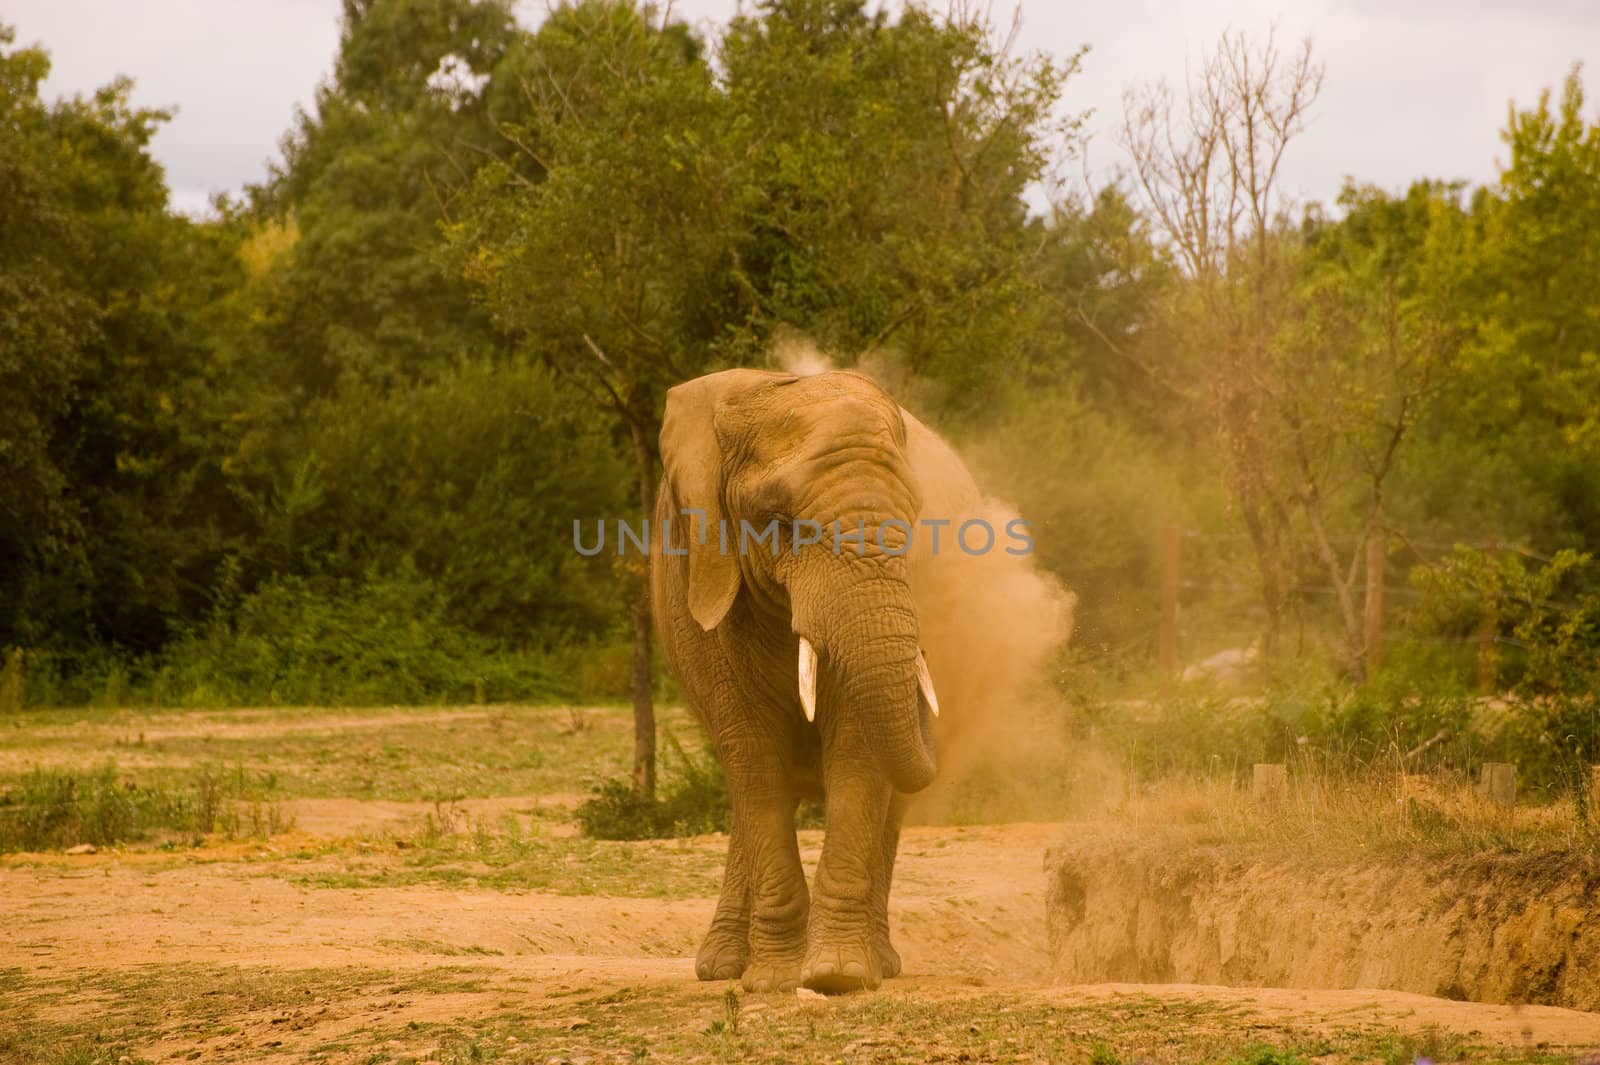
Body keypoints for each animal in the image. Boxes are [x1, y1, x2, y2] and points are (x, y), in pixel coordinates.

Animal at [643, 364, 1068, 985]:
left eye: (915, 523)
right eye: (778, 523)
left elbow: (856, 755)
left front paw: (837, 977)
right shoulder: (702, 576)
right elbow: (753, 755)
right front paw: (774, 981)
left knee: (888, 809)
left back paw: (880, 963)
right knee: (746, 781)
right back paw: (721, 967)